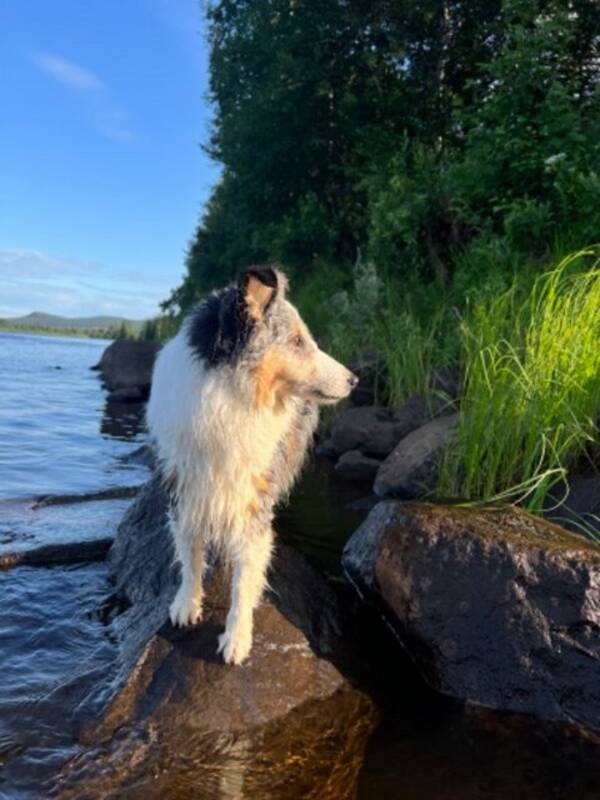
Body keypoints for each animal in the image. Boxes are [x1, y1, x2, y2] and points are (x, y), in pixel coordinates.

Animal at [148, 266, 358, 664]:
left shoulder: (254, 497)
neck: (228, 400)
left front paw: (236, 638)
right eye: (296, 341)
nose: (354, 380)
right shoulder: (184, 486)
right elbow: (189, 553)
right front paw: (186, 603)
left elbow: (245, 579)